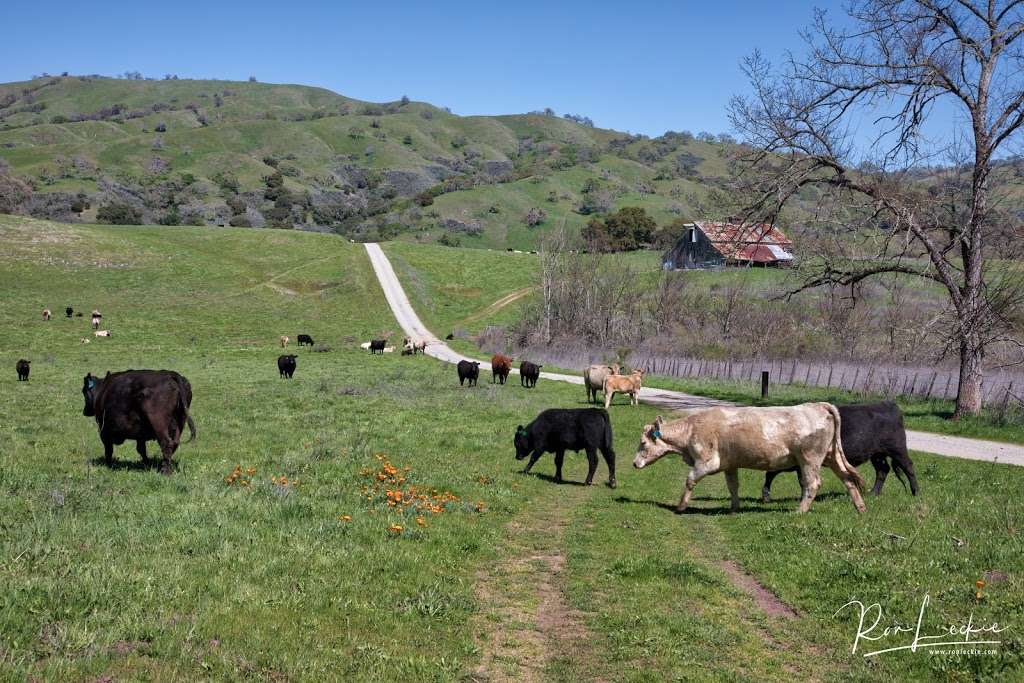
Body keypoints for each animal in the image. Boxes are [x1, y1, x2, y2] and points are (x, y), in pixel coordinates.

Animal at [630, 405, 864, 511]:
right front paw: (735, 508)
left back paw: (800, 511)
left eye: (643, 443)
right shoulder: (729, 465)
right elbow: (733, 486)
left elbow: (690, 480)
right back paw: (860, 508)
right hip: (831, 456)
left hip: (809, 458)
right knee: (848, 479)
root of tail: (817, 405)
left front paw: (680, 507)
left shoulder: (707, 463)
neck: (692, 429)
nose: (634, 463)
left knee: (812, 483)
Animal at [761, 401, 921, 501]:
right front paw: (766, 496)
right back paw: (873, 493)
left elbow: (799, 479)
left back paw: (916, 492)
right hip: (876, 454)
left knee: (908, 467)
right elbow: (771, 474)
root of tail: (888, 404)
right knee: (883, 470)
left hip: (897, 449)